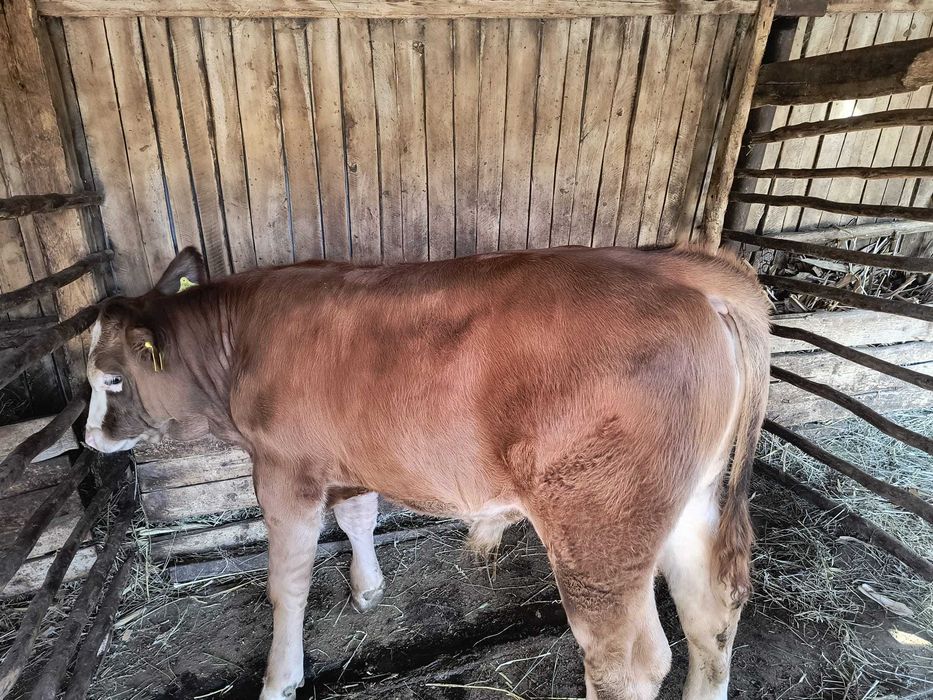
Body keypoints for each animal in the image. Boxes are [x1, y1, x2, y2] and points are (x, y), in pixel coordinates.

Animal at [84, 244, 769, 700]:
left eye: (111, 378)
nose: (88, 437)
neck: (243, 339)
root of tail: (685, 274)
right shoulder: (350, 455)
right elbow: (357, 517)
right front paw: (367, 588)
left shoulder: (283, 470)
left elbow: (288, 583)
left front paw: (280, 678)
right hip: (694, 502)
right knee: (712, 611)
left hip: (599, 530)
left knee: (627, 662)